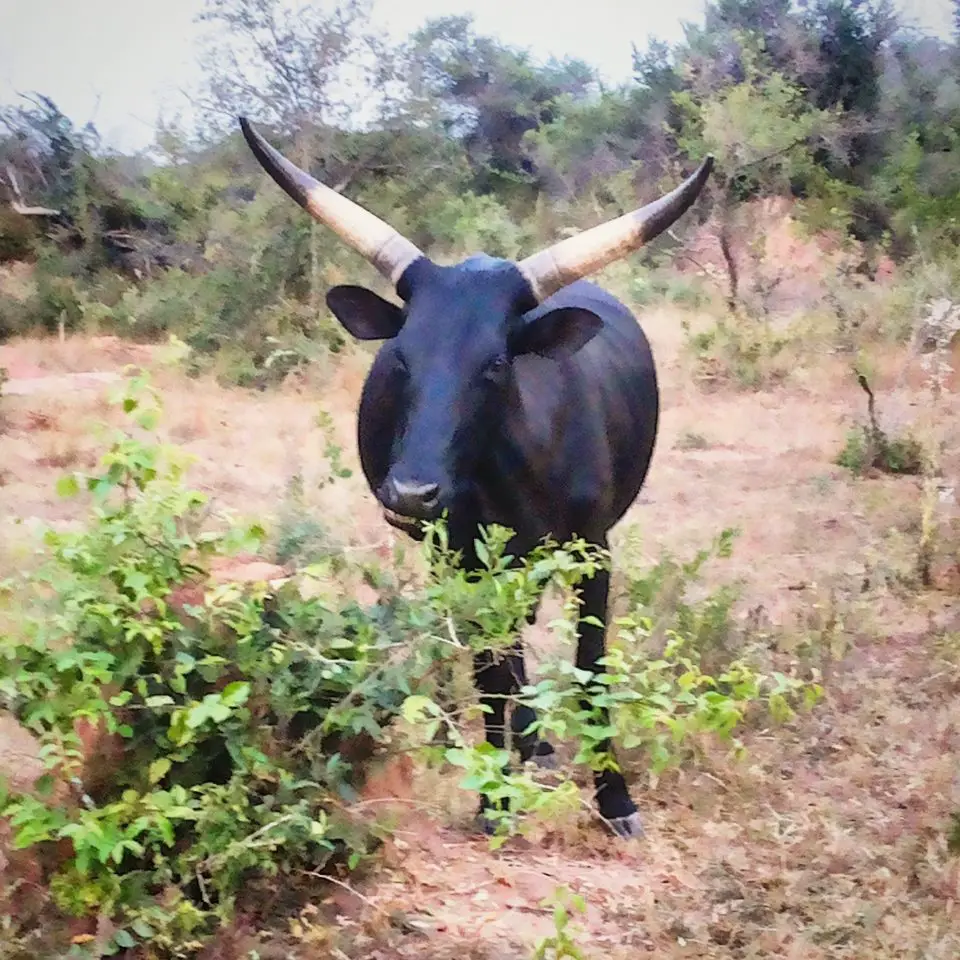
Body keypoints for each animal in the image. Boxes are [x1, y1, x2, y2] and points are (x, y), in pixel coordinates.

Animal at [240, 116, 712, 840]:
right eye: (401, 358)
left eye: (494, 363)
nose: (410, 493)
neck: (517, 474)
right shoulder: (465, 557)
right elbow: (491, 672)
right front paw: (493, 797)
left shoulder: (594, 549)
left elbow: (591, 664)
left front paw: (615, 800)